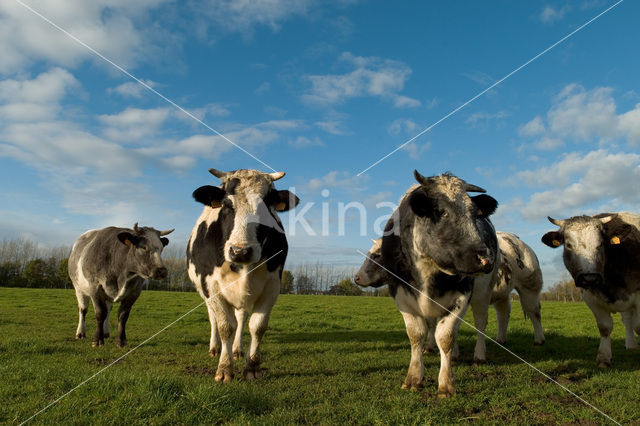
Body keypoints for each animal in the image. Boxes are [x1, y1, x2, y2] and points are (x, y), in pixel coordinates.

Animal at [186, 167, 298, 382]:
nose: (240, 251)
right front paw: (224, 369)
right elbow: (225, 326)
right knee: (214, 317)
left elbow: (257, 325)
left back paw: (237, 349)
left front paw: (252, 367)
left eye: (266, 207)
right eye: (226, 205)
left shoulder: (272, 285)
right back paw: (215, 348)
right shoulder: (211, 285)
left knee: (241, 317)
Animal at [356, 171, 500, 398]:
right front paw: (414, 378)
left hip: (483, 294)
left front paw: (446, 384)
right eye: (441, 212)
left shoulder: (463, 294)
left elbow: (446, 336)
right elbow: (417, 334)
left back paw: (478, 355)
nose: (485, 258)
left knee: (479, 324)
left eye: (474, 214)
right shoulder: (400, 295)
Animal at [540, 213, 640, 366]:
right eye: (568, 245)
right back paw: (631, 345)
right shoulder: (590, 298)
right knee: (627, 319)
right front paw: (604, 358)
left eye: (600, 244)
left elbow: (638, 325)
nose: (589, 278)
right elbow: (604, 327)